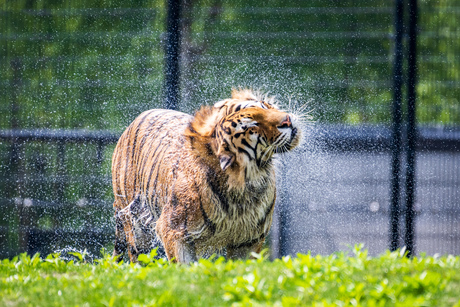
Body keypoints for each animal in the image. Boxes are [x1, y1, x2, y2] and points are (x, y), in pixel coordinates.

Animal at [111, 88, 304, 264]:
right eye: (252, 127)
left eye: (264, 106)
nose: (287, 120)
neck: (245, 185)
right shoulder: (174, 231)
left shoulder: (248, 239)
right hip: (135, 223)